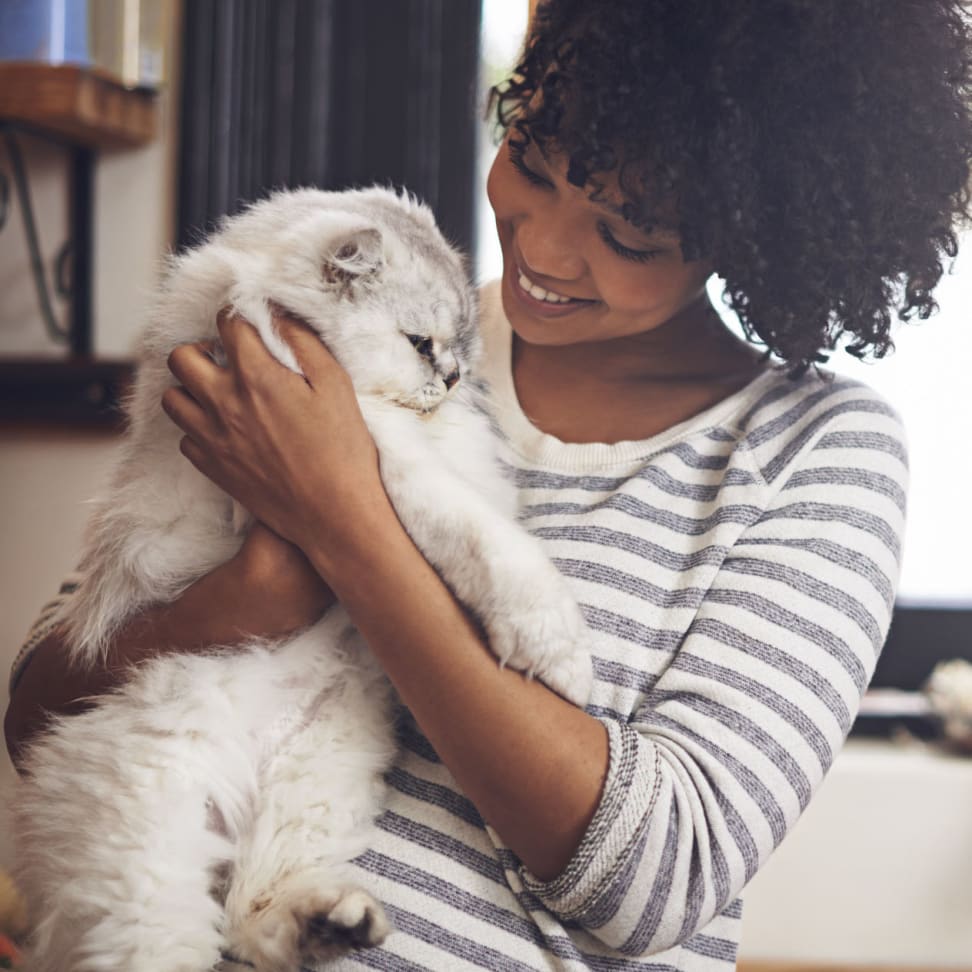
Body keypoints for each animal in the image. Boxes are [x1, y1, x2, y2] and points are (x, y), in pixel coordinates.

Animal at [13, 184, 592, 972]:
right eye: (421, 344)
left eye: (463, 351)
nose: (450, 380)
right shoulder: (376, 453)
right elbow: (481, 539)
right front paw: (556, 651)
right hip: (150, 847)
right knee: (188, 932)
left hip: (322, 775)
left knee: (251, 912)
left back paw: (335, 923)